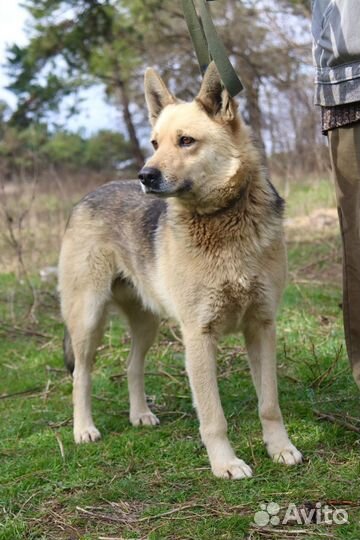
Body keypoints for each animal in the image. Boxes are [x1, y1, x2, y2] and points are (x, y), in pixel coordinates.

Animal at [58, 61, 300, 478]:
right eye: (155, 144)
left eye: (186, 141)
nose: (144, 176)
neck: (222, 222)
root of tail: (85, 198)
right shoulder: (198, 336)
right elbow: (213, 417)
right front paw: (226, 464)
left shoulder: (262, 326)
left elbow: (269, 404)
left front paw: (280, 449)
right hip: (88, 320)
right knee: (81, 375)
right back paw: (84, 428)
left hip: (147, 323)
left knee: (131, 365)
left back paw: (140, 414)